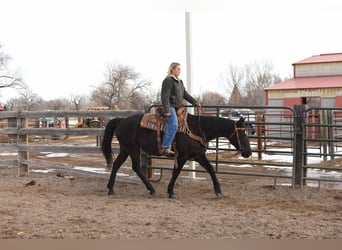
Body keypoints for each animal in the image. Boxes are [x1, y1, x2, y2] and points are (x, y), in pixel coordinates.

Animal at [101, 112, 251, 198]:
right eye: (242, 132)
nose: (248, 152)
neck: (197, 129)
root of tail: (121, 120)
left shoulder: (198, 155)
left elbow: (211, 169)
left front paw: (218, 191)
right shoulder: (182, 156)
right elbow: (177, 172)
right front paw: (171, 191)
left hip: (125, 149)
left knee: (116, 164)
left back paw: (110, 188)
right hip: (132, 149)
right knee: (136, 167)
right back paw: (152, 189)